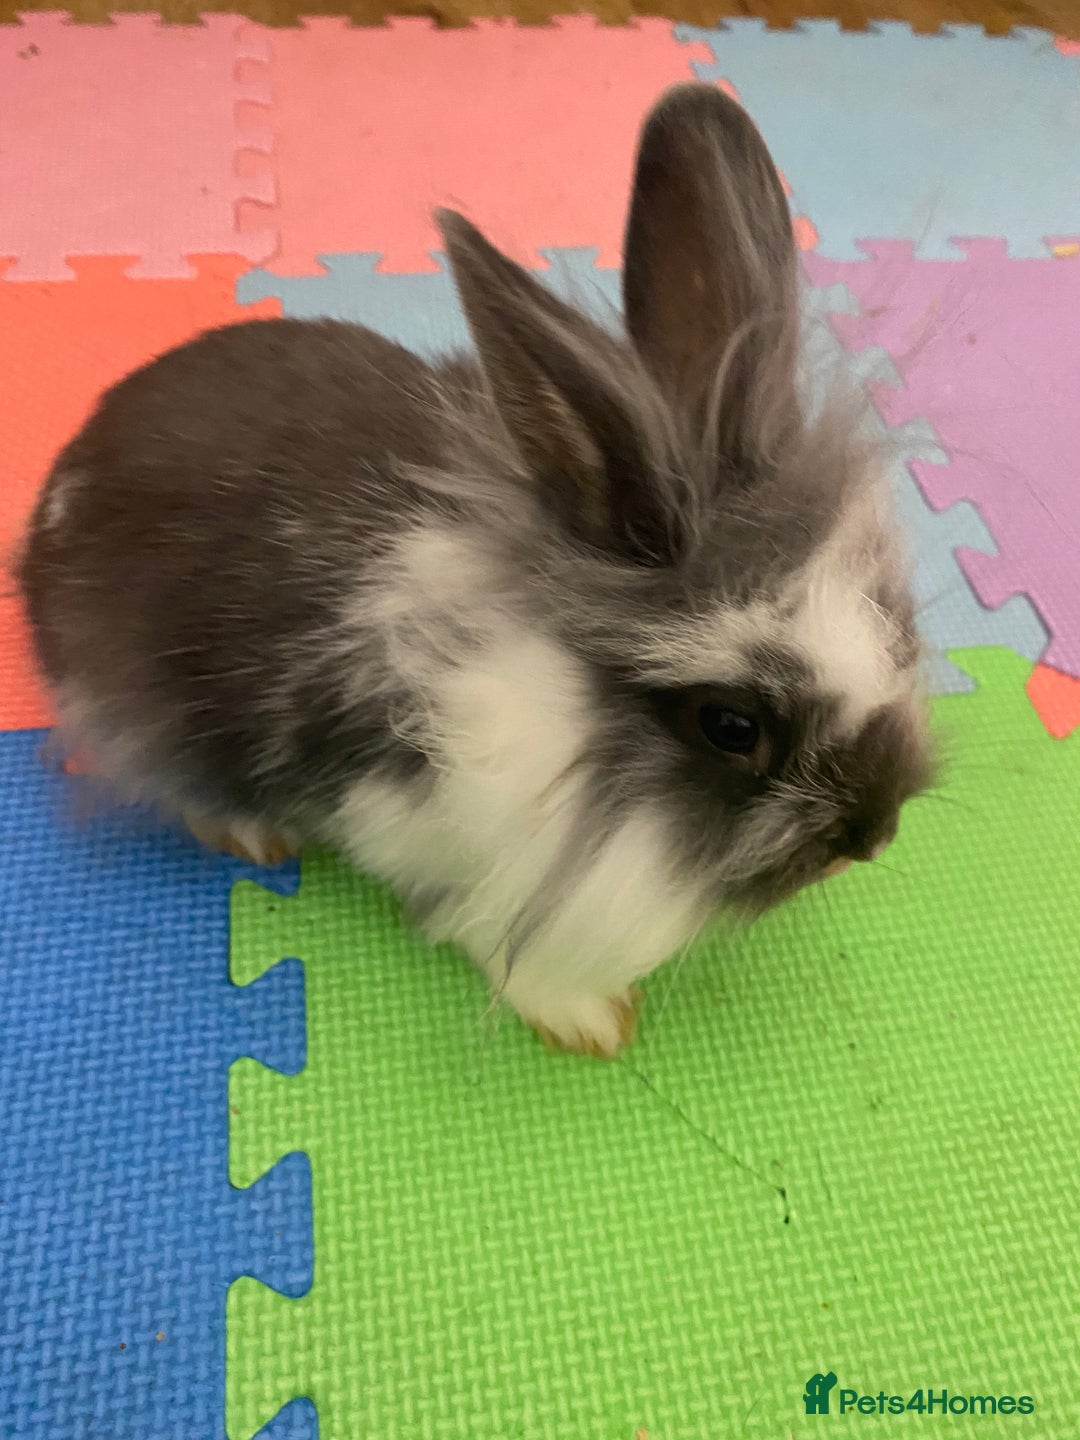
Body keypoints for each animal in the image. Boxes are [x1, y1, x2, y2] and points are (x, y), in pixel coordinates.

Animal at [18, 82, 934, 1057]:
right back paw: (248, 829)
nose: (873, 836)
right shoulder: (409, 821)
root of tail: (60, 485)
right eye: (730, 726)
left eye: (898, 630)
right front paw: (586, 1017)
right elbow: (484, 921)